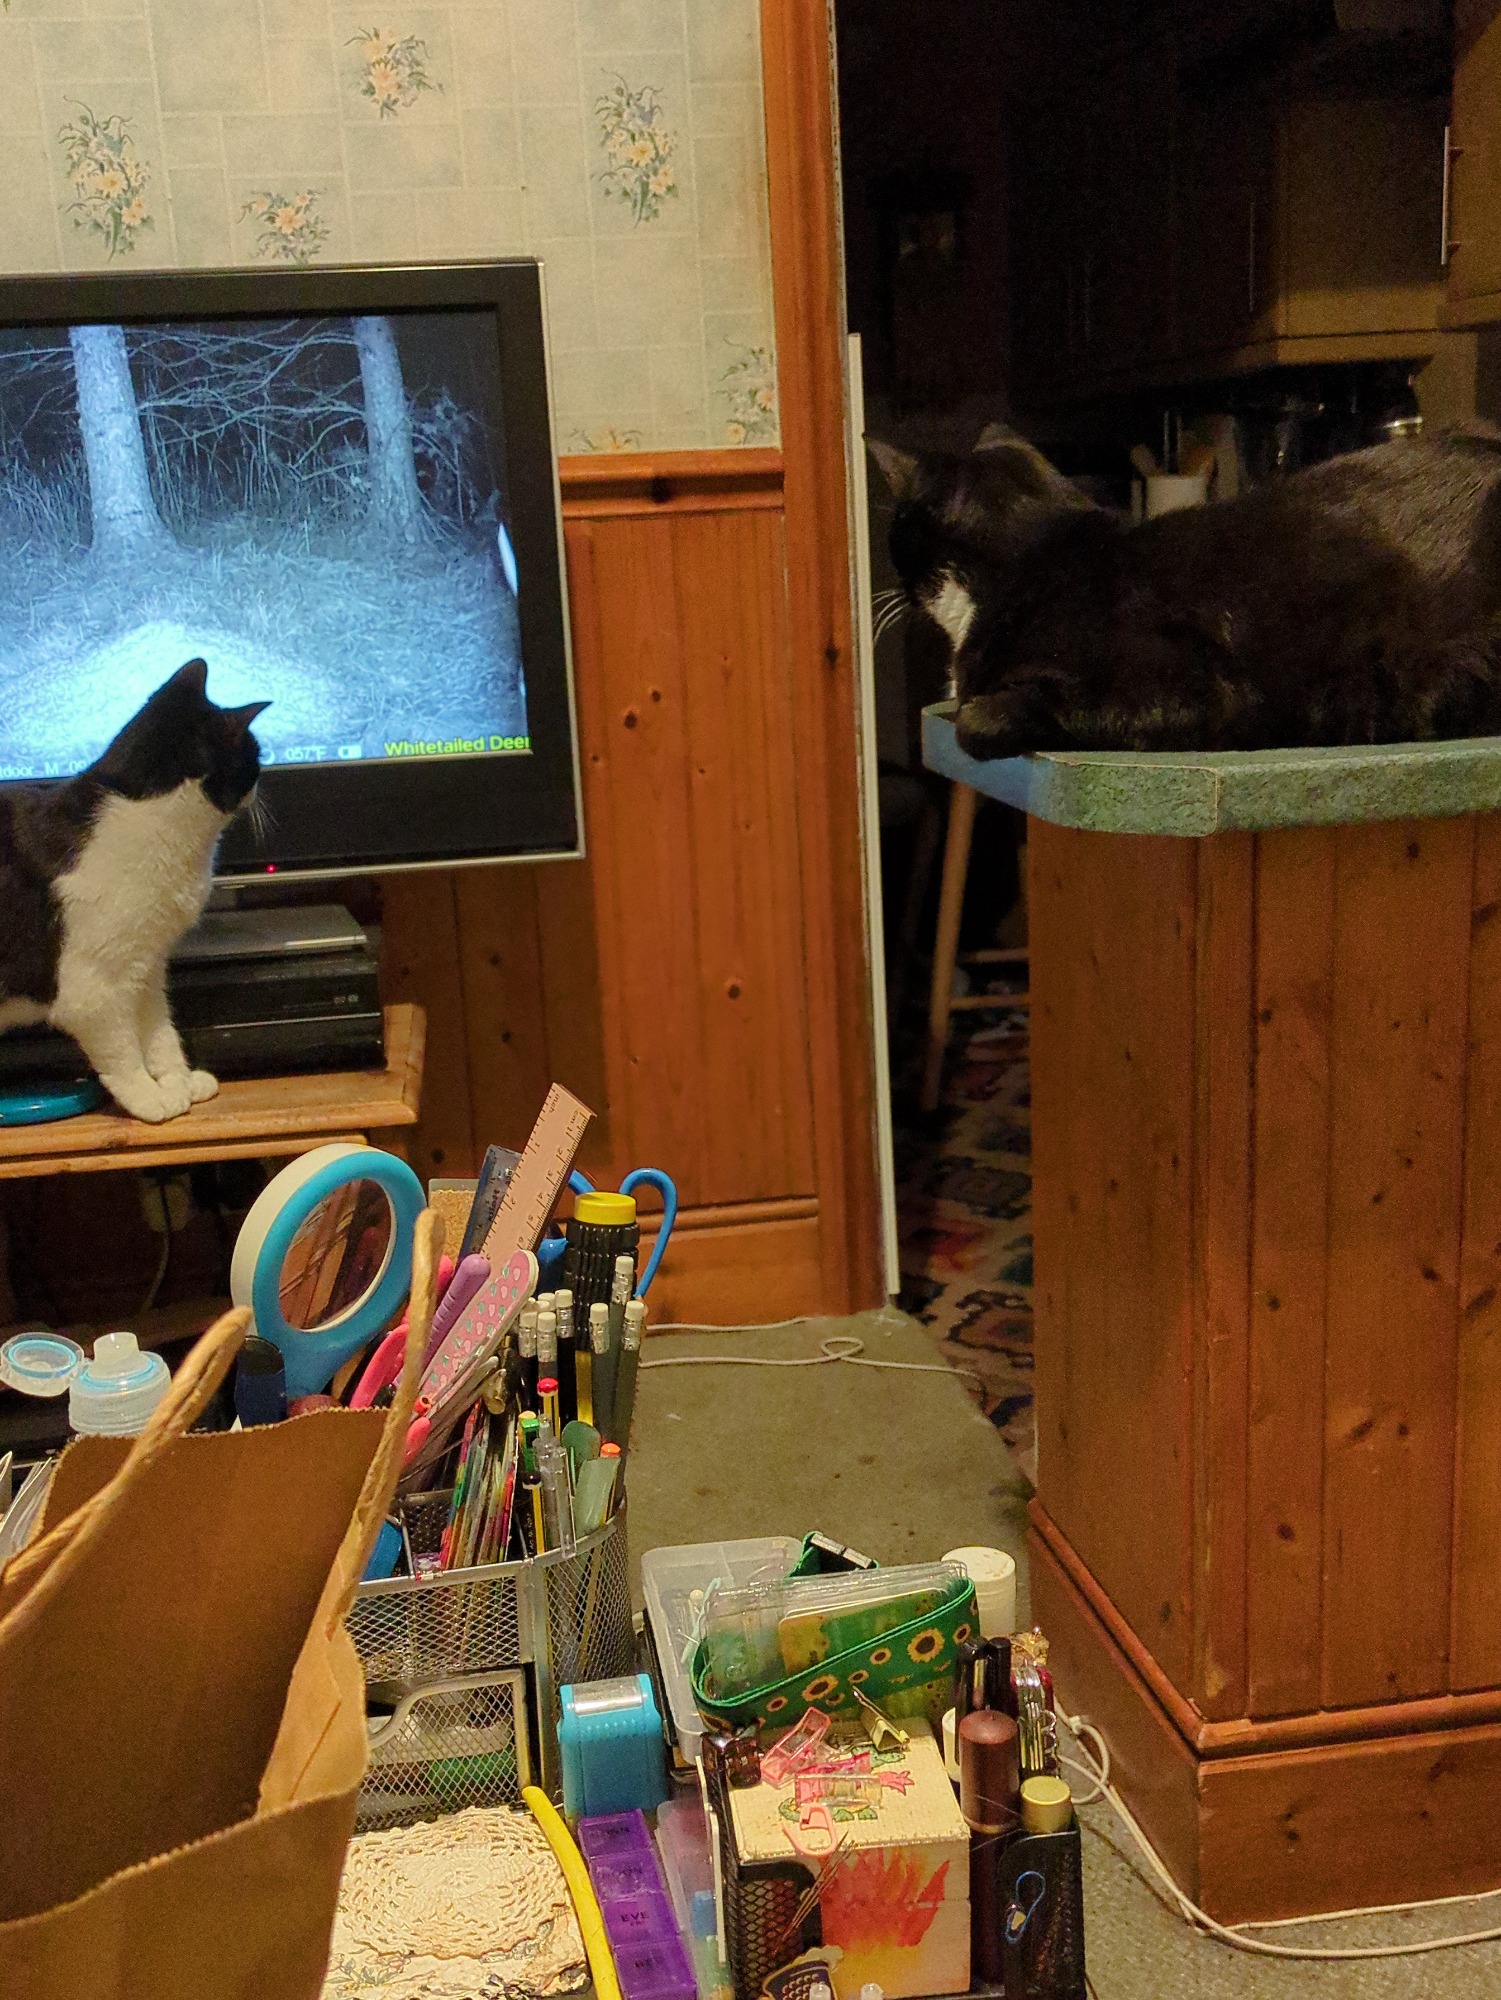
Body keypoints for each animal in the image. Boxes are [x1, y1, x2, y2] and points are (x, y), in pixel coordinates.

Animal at [0, 660, 267, 1123]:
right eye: (254, 757)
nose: (261, 784)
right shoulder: (93, 987)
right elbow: (122, 1051)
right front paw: (148, 1096)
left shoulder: (146, 965)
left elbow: (160, 1032)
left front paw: (179, 1082)